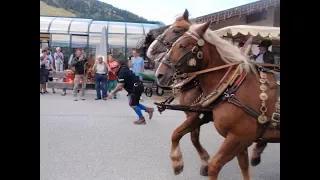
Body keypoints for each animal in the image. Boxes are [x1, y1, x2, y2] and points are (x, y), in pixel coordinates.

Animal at [148, 9, 212, 174]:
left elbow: (185, 135)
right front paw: (204, 161)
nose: (151, 50)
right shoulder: (191, 114)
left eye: (176, 31)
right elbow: (193, 137)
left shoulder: (196, 114)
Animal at [155, 21, 280, 180]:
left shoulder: (238, 137)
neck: (232, 85)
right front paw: (179, 163)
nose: (159, 75)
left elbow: (214, 164)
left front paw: (197, 163)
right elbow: (178, 134)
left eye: (182, 45)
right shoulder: (233, 136)